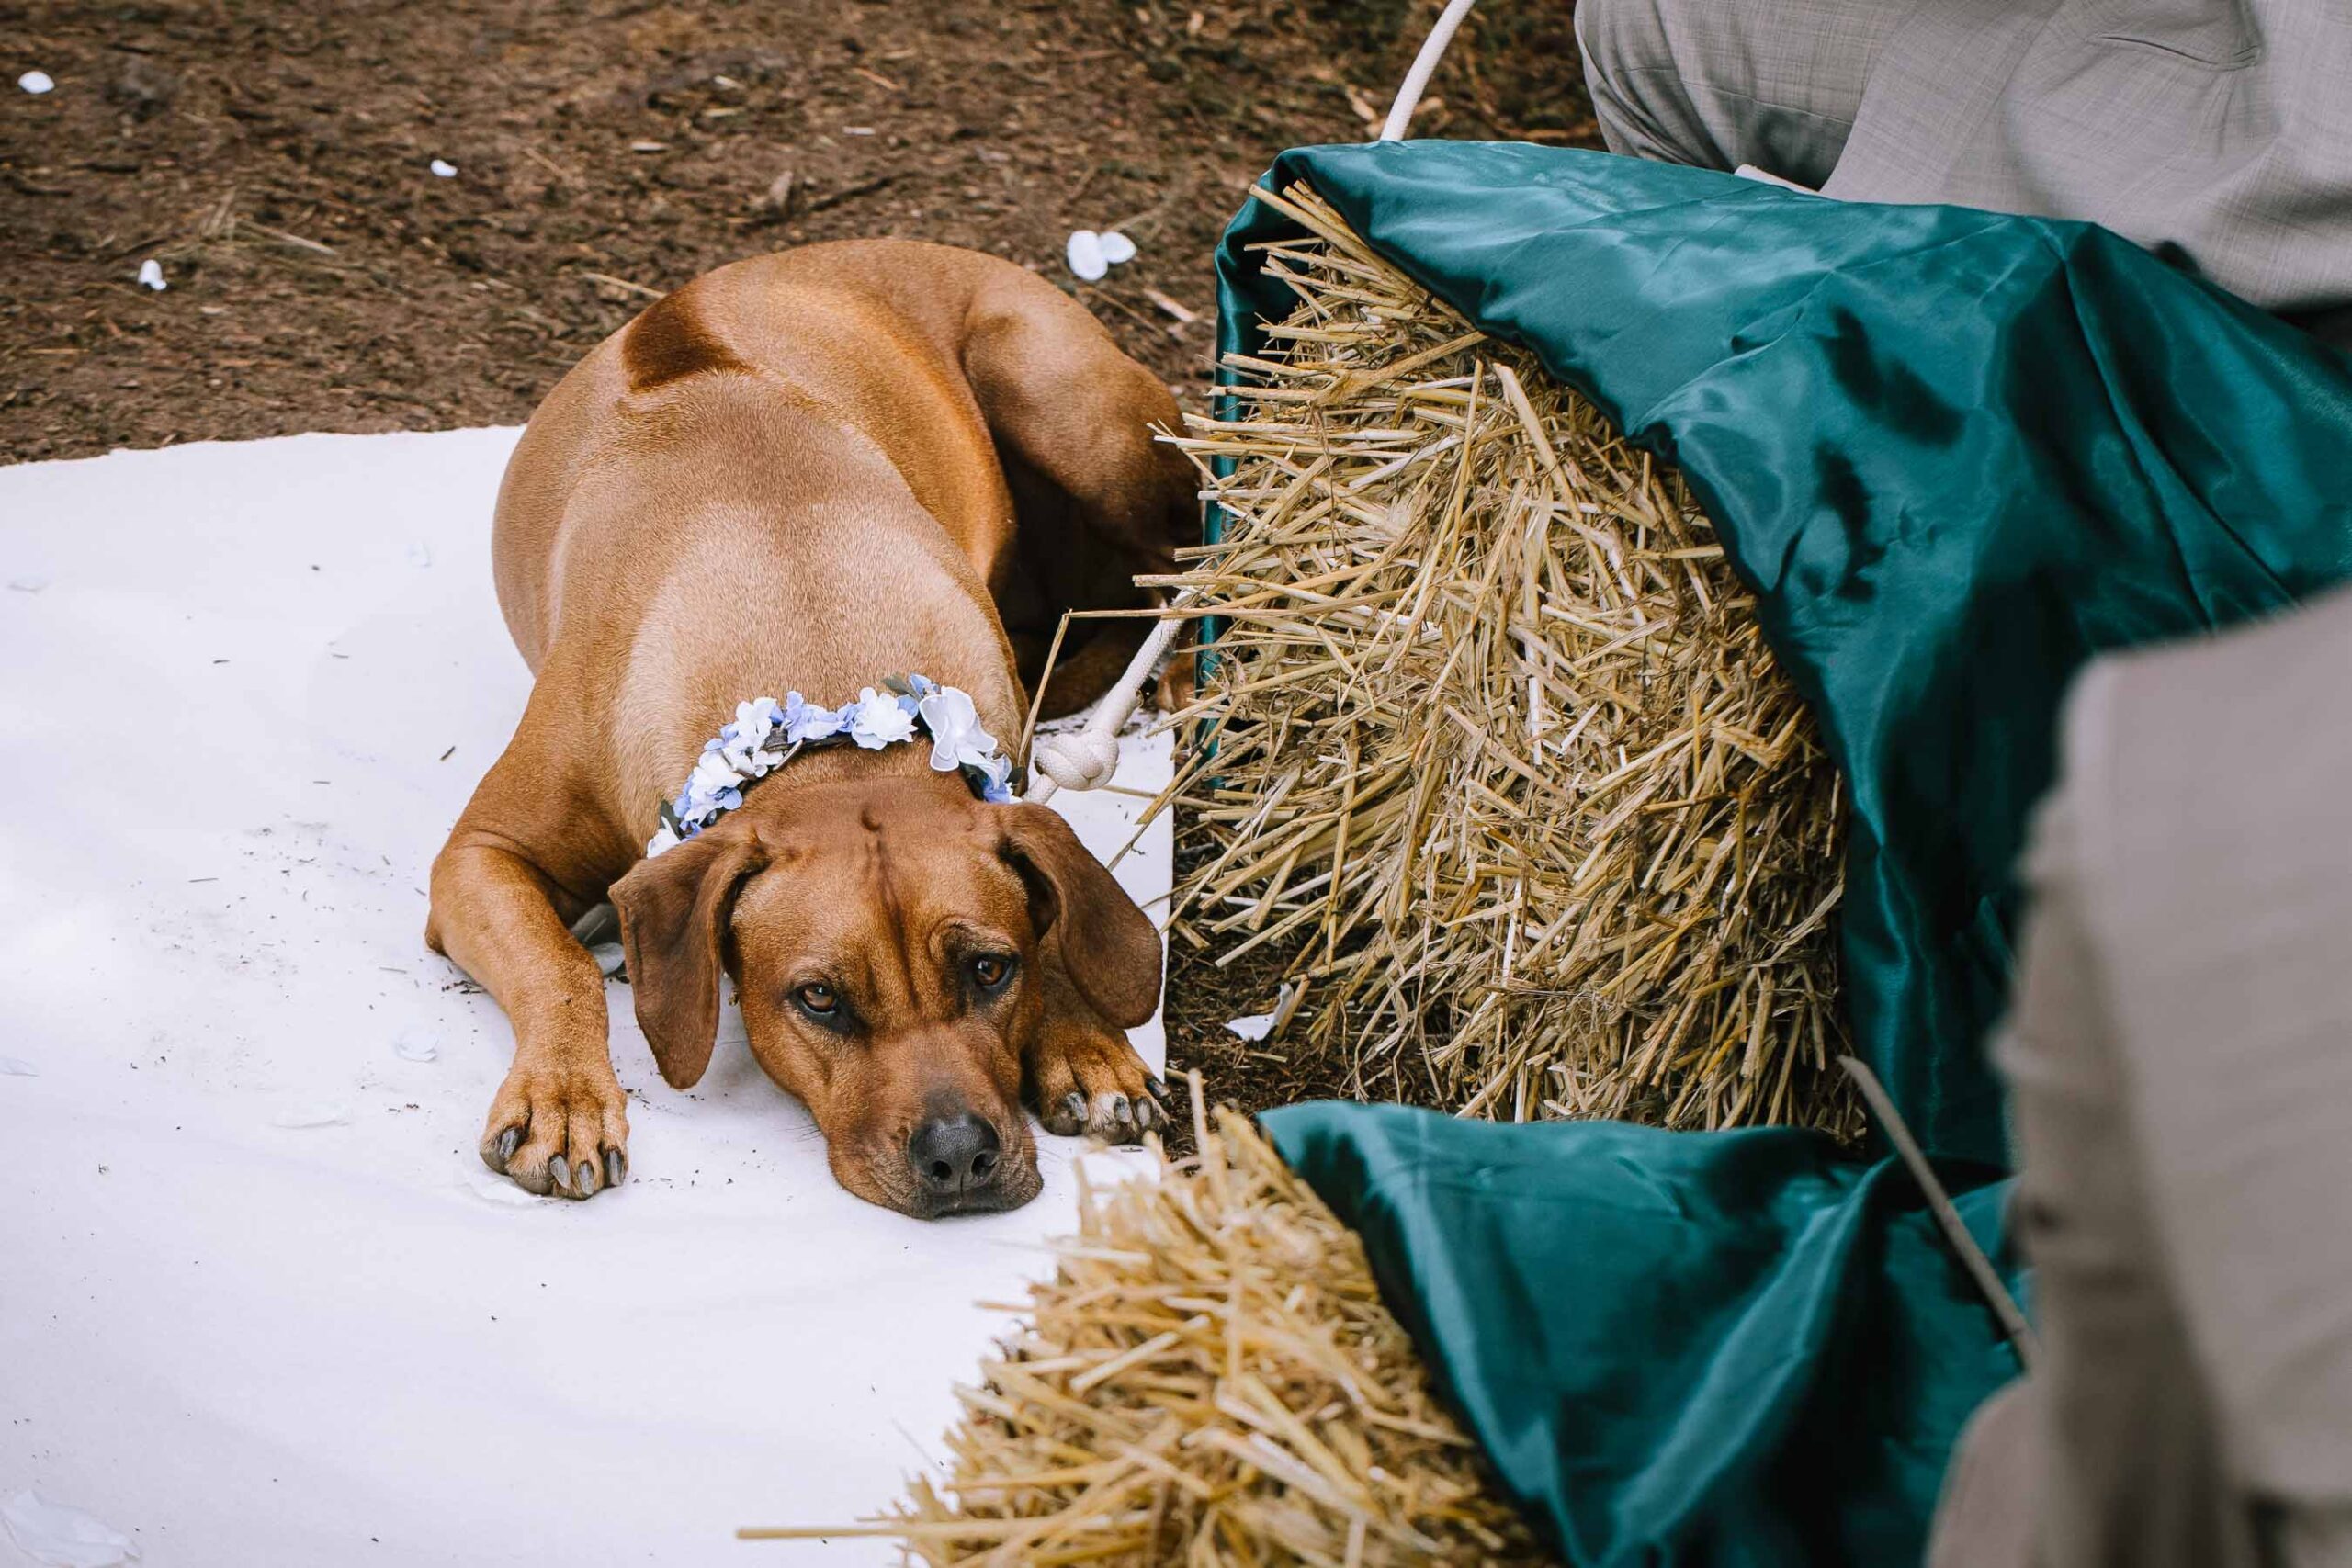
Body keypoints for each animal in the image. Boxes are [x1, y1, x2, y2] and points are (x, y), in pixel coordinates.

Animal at [425, 240, 1194, 1216]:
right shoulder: (479, 856)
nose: (958, 1157)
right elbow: (556, 965)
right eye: (819, 998)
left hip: (1061, 399)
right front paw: (562, 1097)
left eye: (991, 969)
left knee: (1188, 553)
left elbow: (1055, 903)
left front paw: (1088, 1042)